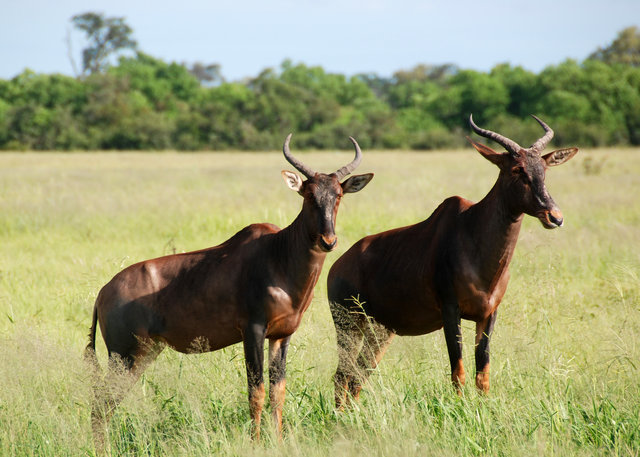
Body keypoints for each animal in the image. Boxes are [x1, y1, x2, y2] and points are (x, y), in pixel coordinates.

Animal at [85, 134, 376, 450]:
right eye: (308, 194)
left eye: (339, 194)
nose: (328, 241)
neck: (278, 252)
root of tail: (103, 293)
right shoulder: (253, 330)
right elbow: (255, 390)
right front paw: (255, 443)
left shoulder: (282, 335)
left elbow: (278, 390)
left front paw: (277, 440)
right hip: (123, 356)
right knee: (101, 402)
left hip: (145, 352)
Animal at [328, 115, 576, 406]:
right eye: (517, 169)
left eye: (544, 169)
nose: (555, 217)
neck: (471, 230)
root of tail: (337, 265)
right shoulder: (450, 310)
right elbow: (458, 370)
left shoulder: (489, 314)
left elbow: (483, 372)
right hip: (348, 325)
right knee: (342, 375)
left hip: (379, 332)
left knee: (357, 376)